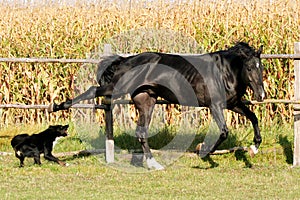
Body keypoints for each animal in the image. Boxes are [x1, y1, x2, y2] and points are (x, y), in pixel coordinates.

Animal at [48, 41, 264, 169]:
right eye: (249, 67)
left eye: (261, 67)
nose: (261, 95)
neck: (223, 71)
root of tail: (126, 60)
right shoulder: (215, 105)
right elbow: (224, 132)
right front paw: (204, 152)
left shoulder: (233, 104)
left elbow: (254, 117)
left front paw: (254, 148)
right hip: (117, 88)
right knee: (93, 90)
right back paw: (56, 106)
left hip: (146, 100)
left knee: (141, 133)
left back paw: (153, 164)